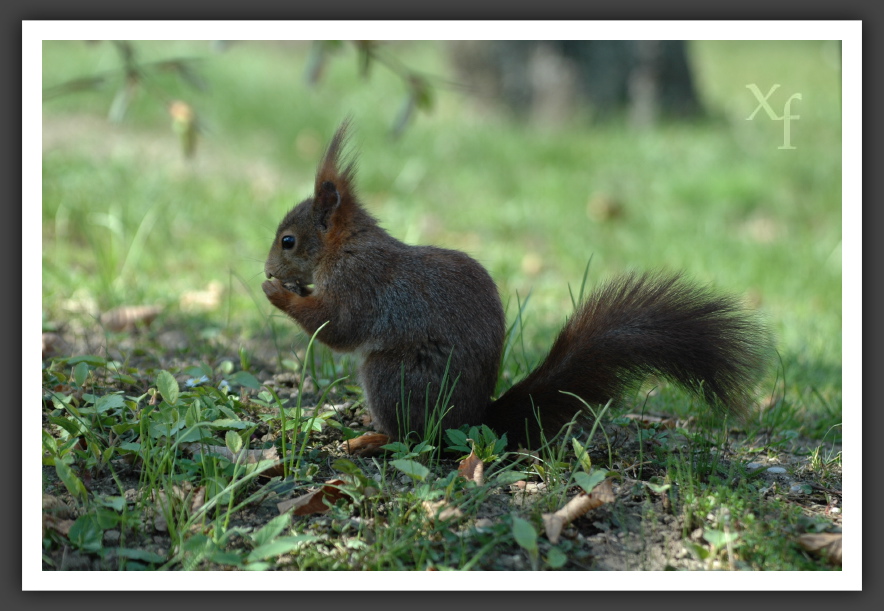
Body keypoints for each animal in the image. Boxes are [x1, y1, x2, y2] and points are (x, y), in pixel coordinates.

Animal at [264, 123, 772, 450]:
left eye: (288, 241)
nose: (268, 267)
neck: (345, 245)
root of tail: (474, 422)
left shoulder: (362, 282)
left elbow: (339, 326)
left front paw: (278, 294)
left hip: (394, 377)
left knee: (415, 438)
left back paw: (373, 438)